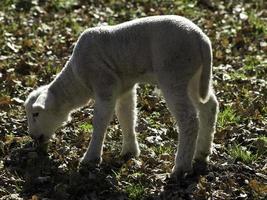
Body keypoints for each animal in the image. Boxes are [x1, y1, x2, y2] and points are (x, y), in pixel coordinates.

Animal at [24, 15, 219, 178]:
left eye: (36, 114)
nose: (32, 136)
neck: (78, 81)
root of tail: (202, 40)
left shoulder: (105, 83)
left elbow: (100, 122)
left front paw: (91, 158)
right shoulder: (125, 87)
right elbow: (126, 115)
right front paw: (130, 151)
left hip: (174, 73)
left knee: (189, 119)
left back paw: (181, 167)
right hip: (195, 77)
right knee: (209, 106)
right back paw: (202, 152)